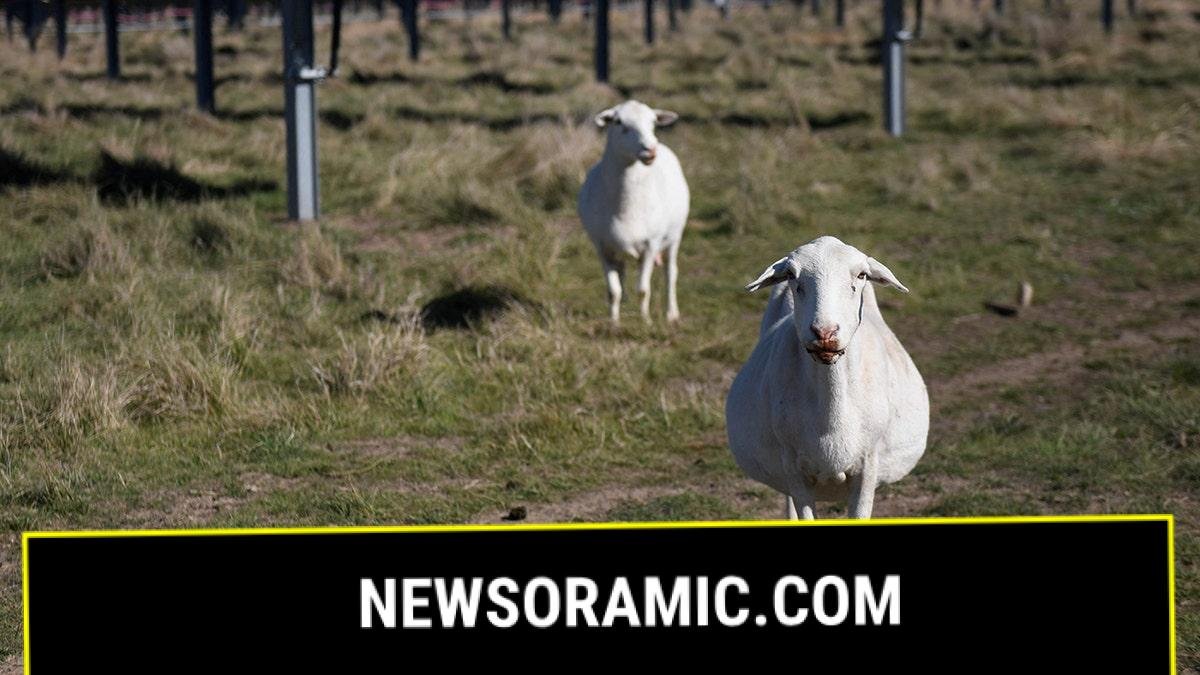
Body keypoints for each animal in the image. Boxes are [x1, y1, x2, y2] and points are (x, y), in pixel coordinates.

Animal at [577, 100, 690, 323]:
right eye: (618, 122)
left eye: (653, 122)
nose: (650, 150)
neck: (626, 207)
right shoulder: (602, 247)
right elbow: (613, 291)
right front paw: (614, 323)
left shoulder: (651, 245)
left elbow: (643, 290)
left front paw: (646, 321)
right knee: (621, 275)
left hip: (674, 236)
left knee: (671, 273)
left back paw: (671, 314)